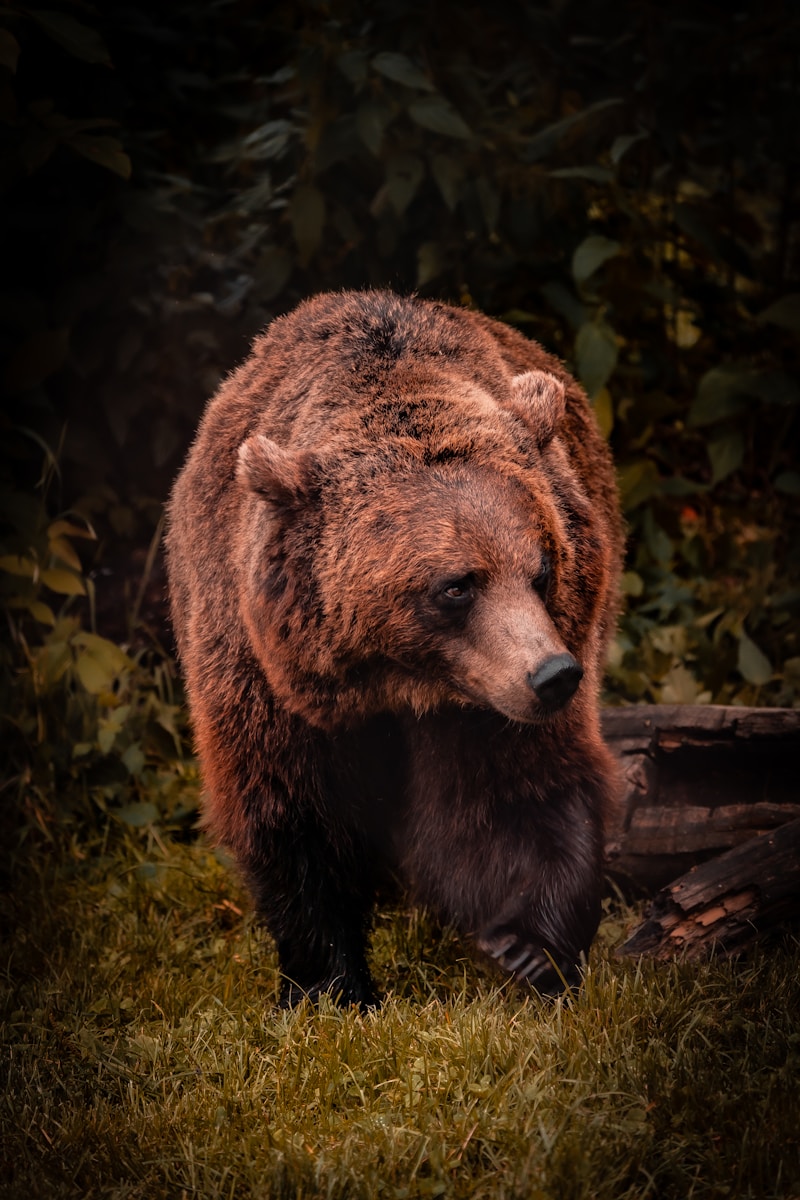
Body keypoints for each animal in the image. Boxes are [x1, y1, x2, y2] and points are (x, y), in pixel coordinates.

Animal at [166, 289, 623, 1007]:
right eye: (457, 585)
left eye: (542, 567)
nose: (554, 675)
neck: (398, 682)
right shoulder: (262, 674)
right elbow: (295, 815)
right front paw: (330, 983)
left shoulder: (489, 697)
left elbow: (517, 792)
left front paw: (528, 948)